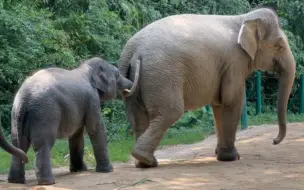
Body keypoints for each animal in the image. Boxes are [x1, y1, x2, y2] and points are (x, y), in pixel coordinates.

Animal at [6, 56, 139, 186]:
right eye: (117, 74)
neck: (87, 69)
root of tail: (25, 96)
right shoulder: (91, 99)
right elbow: (96, 128)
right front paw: (108, 170)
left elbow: (76, 135)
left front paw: (79, 170)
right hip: (45, 112)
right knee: (43, 143)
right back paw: (48, 182)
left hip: (16, 114)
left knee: (18, 143)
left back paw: (15, 181)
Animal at [119, 7, 296, 168]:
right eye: (279, 46)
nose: (274, 141)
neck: (243, 18)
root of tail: (133, 51)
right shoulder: (234, 62)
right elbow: (232, 101)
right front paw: (231, 158)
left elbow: (219, 105)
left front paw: (220, 154)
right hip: (162, 76)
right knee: (170, 112)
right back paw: (146, 159)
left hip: (138, 79)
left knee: (139, 117)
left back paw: (144, 163)